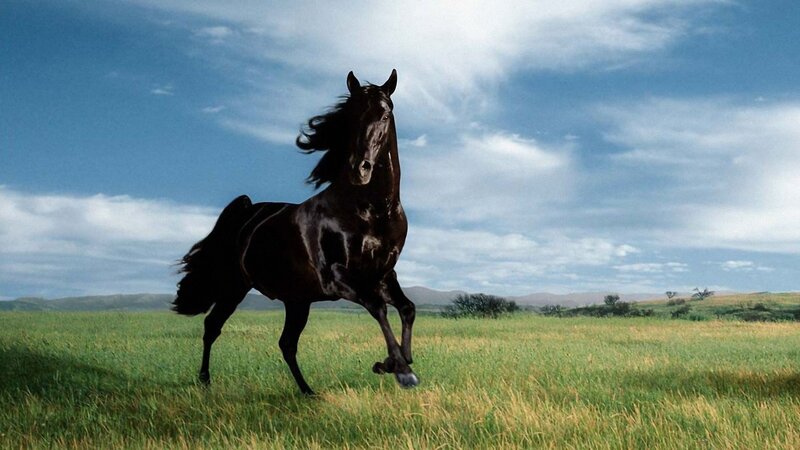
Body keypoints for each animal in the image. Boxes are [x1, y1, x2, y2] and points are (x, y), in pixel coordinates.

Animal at [172, 69, 418, 395]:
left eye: (385, 114)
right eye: (350, 116)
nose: (359, 169)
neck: (372, 211)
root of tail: (248, 212)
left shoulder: (383, 275)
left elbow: (407, 308)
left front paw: (394, 362)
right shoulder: (337, 278)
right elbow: (378, 308)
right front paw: (400, 370)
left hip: (296, 299)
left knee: (286, 344)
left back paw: (308, 391)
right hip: (234, 286)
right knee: (213, 326)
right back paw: (205, 380)